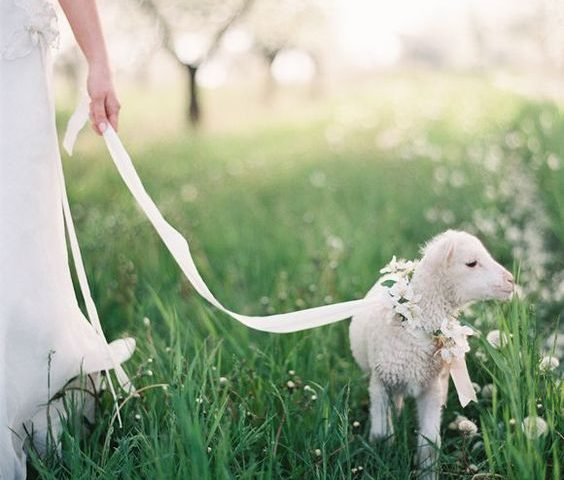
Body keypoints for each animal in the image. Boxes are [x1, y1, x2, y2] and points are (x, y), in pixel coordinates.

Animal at [352, 231, 516, 478]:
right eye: (471, 263)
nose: (511, 280)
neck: (415, 326)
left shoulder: (431, 388)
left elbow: (429, 443)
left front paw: (427, 473)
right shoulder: (380, 383)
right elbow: (382, 436)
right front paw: (381, 461)